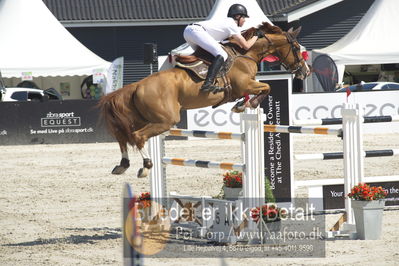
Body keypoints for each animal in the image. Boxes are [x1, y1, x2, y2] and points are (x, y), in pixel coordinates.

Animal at [98, 22, 310, 177]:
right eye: (297, 48)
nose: (306, 72)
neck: (246, 54)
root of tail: (136, 86)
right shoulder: (245, 85)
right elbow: (267, 87)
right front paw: (245, 105)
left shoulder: (246, 86)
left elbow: (264, 88)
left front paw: (242, 104)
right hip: (166, 120)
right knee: (138, 136)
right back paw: (145, 166)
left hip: (142, 118)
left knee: (123, 136)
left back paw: (122, 165)